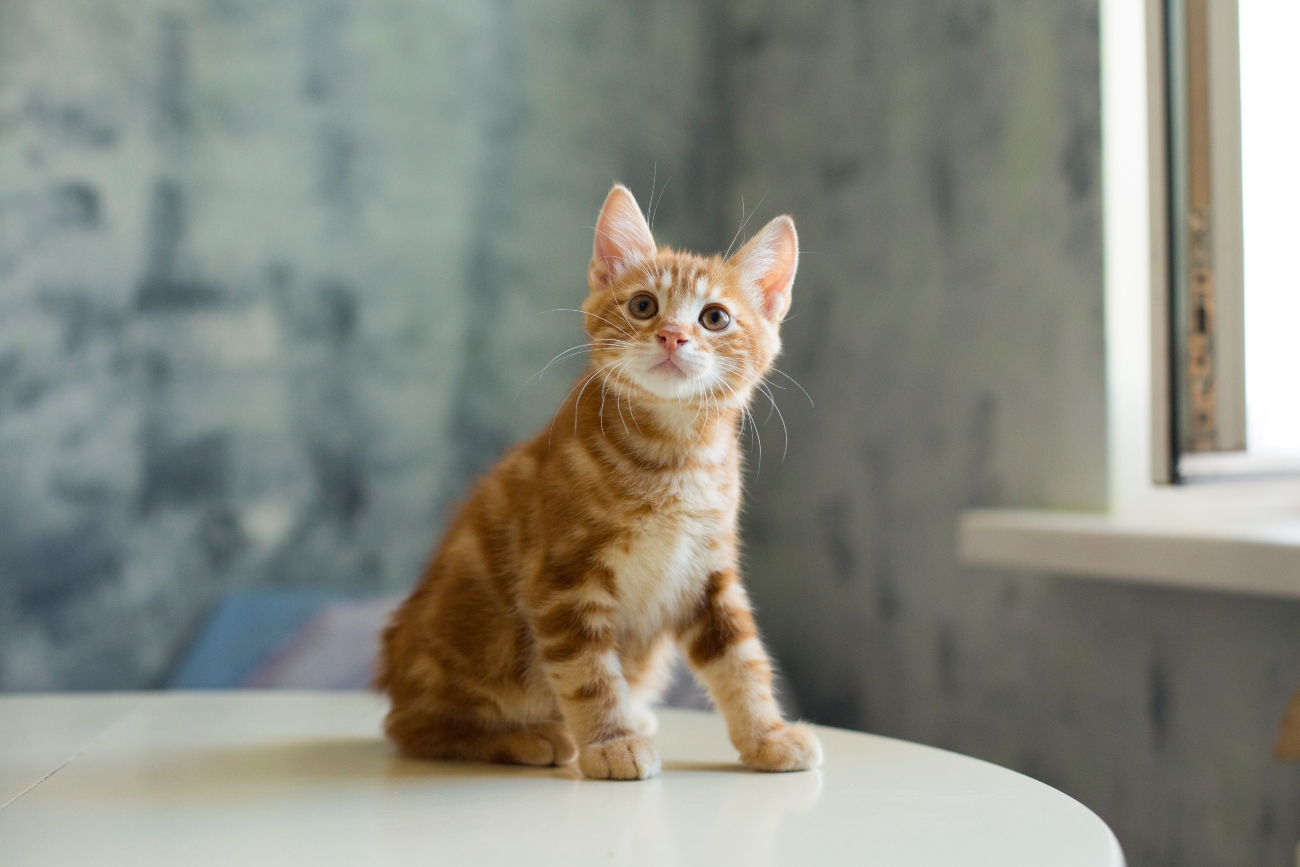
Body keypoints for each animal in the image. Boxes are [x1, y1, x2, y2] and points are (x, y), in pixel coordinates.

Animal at [379, 183, 821, 779]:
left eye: (715, 317)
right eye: (643, 306)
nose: (672, 336)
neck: (675, 457)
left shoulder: (708, 574)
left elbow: (740, 658)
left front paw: (767, 735)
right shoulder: (563, 578)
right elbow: (587, 671)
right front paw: (611, 742)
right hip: (472, 641)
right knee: (412, 727)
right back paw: (532, 736)